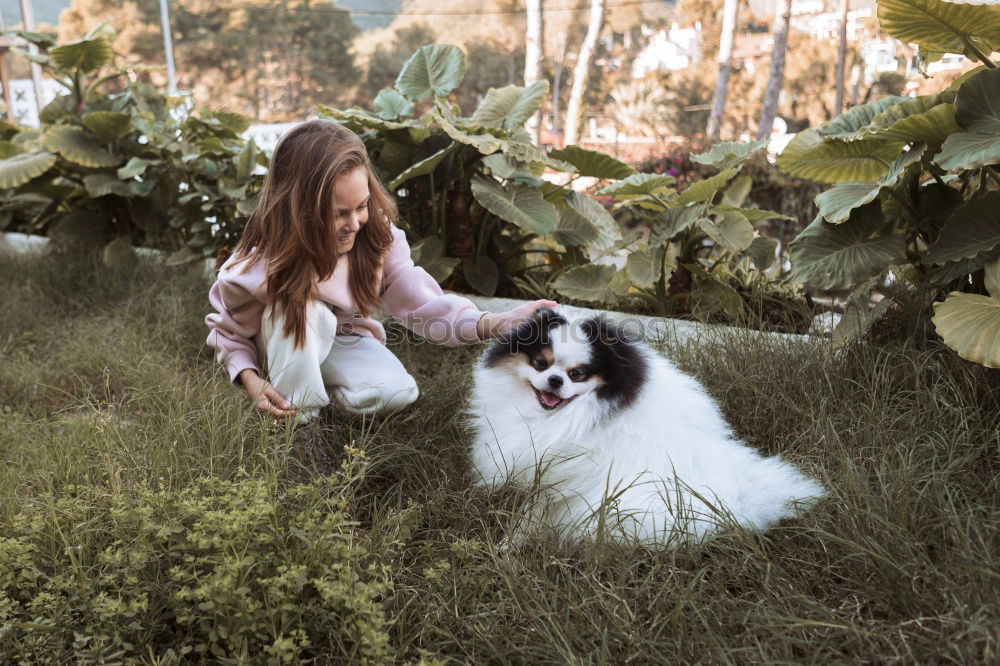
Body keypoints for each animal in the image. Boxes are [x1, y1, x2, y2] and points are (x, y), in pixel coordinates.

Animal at [464, 308, 824, 544]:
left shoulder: (560, 479)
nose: (554, 381)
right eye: (541, 363)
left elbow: (530, 516)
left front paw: (508, 547)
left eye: (577, 374)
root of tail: (731, 500)